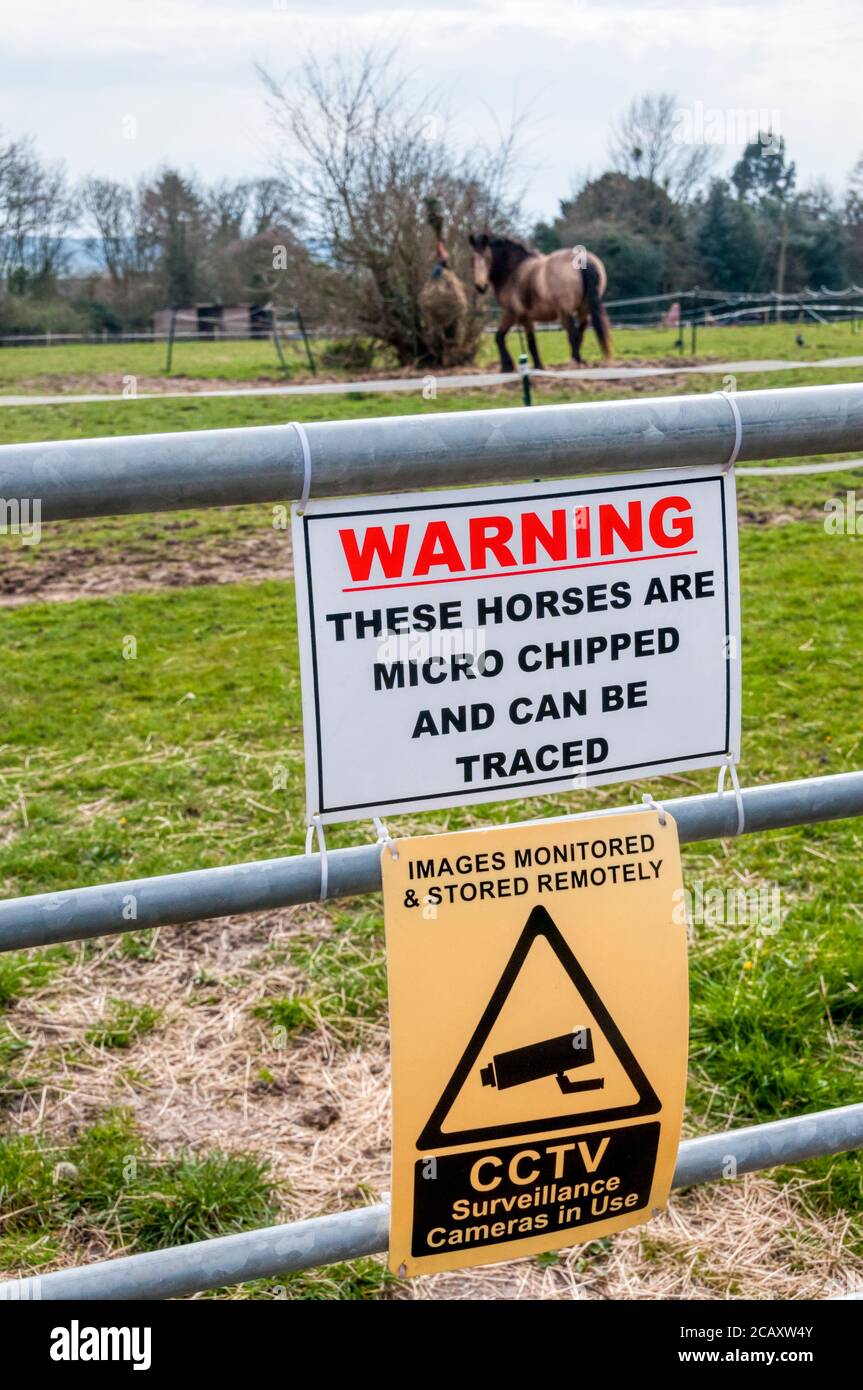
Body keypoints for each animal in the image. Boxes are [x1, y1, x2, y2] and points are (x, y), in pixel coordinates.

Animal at [464, 236, 611, 372]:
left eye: (488, 258)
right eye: (472, 259)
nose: (481, 286)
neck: (513, 271)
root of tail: (583, 260)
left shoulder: (512, 314)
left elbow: (502, 337)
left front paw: (508, 366)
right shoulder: (526, 318)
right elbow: (528, 341)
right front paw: (537, 366)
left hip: (565, 312)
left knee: (573, 334)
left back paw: (575, 362)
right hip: (583, 310)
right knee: (580, 333)